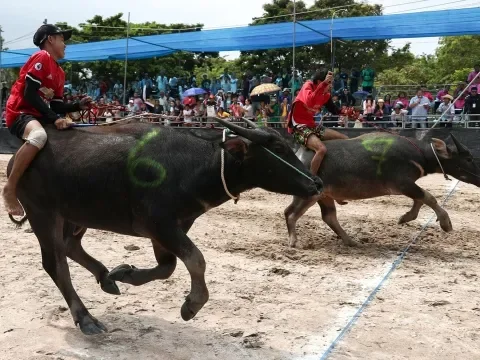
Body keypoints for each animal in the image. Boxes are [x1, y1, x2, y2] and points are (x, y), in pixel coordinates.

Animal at [6, 119, 322, 334]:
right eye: (278, 148)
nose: (316, 183)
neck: (194, 165)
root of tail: (15, 161)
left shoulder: (169, 228)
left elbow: (167, 267)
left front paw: (125, 274)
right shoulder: (159, 223)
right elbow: (196, 259)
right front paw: (192, 305)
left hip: (75, 214)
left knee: (71, 246)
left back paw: (106, 277)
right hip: (43, 213)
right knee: (55, 263)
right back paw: (86, 318)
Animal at [284, 132, 480, 248]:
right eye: (468, 158)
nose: (479, 176)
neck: (420, 155)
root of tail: (300, 153)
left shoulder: (406, 185)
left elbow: (420, 199)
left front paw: (406, 217)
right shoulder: (402, 183)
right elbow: (429, 197)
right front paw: (446, 223)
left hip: (325, 195)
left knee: (328, 217)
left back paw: (351, 241)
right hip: (309, 195)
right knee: (291, 213)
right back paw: (294, 241)